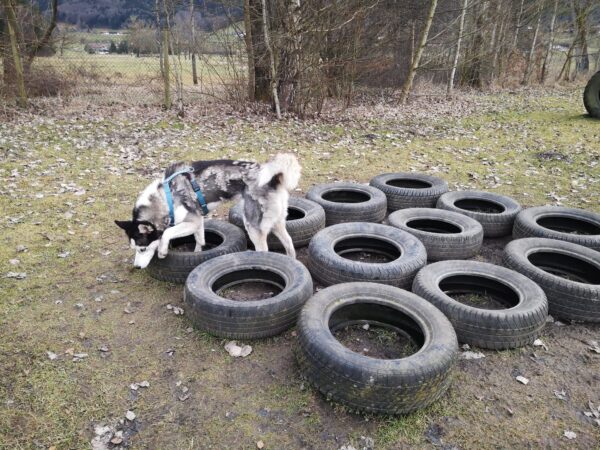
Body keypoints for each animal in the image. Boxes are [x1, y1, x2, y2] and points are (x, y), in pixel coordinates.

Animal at [115, 153, 301, 269]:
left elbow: (167, 233)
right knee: (290, 244)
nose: (136, 267)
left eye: (142, 249)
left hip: (252, 226)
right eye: (134, 249)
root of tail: (274, 178)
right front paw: (197, 254)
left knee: (264, 250)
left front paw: (162, 251)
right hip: (277, 223)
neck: (166, 197)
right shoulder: (198, 222)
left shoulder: (192, 221)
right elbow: (200, 240)